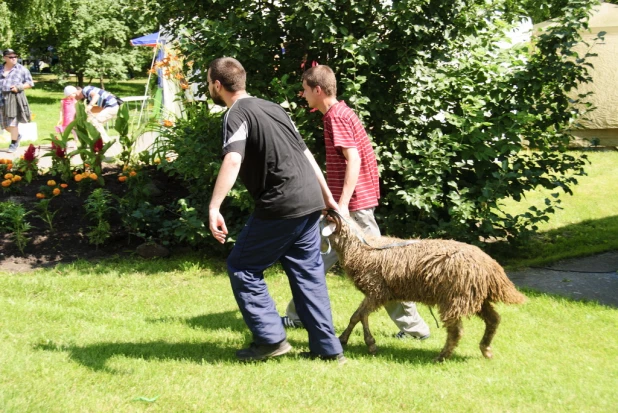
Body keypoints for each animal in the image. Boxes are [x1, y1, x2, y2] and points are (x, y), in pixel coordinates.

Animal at [322, 209, 524, 360]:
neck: (360, 249)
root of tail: (492, 268)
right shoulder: (378, 293)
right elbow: (357, 316)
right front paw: (345, 339)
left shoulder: (377, 291)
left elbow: (360, 315)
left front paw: (368, 343)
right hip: (475, 297)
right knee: (494, 319)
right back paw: (486, 349)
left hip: (455, 297)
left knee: (457, 331)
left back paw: (441, 357)